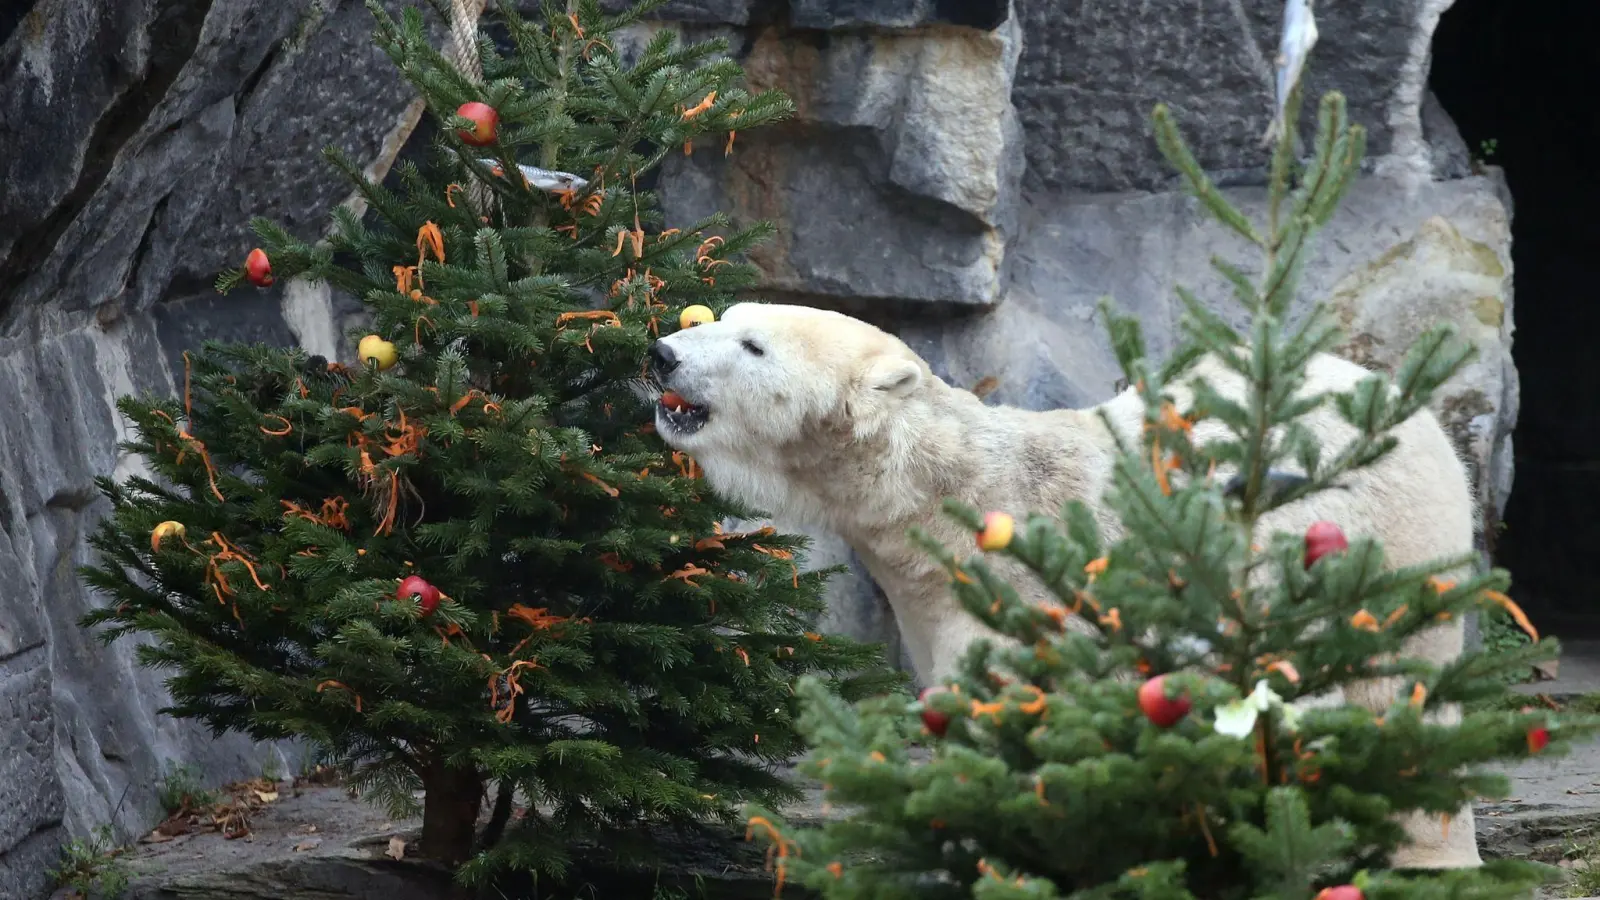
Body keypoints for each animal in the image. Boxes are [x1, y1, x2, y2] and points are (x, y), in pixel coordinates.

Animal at [646, 301, 1484, 871]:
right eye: (723, 316)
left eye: (752, 344)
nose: (660, 353)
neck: (963, 501)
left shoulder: (1034, 600)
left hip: (1388, 542)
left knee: (1397, 696)